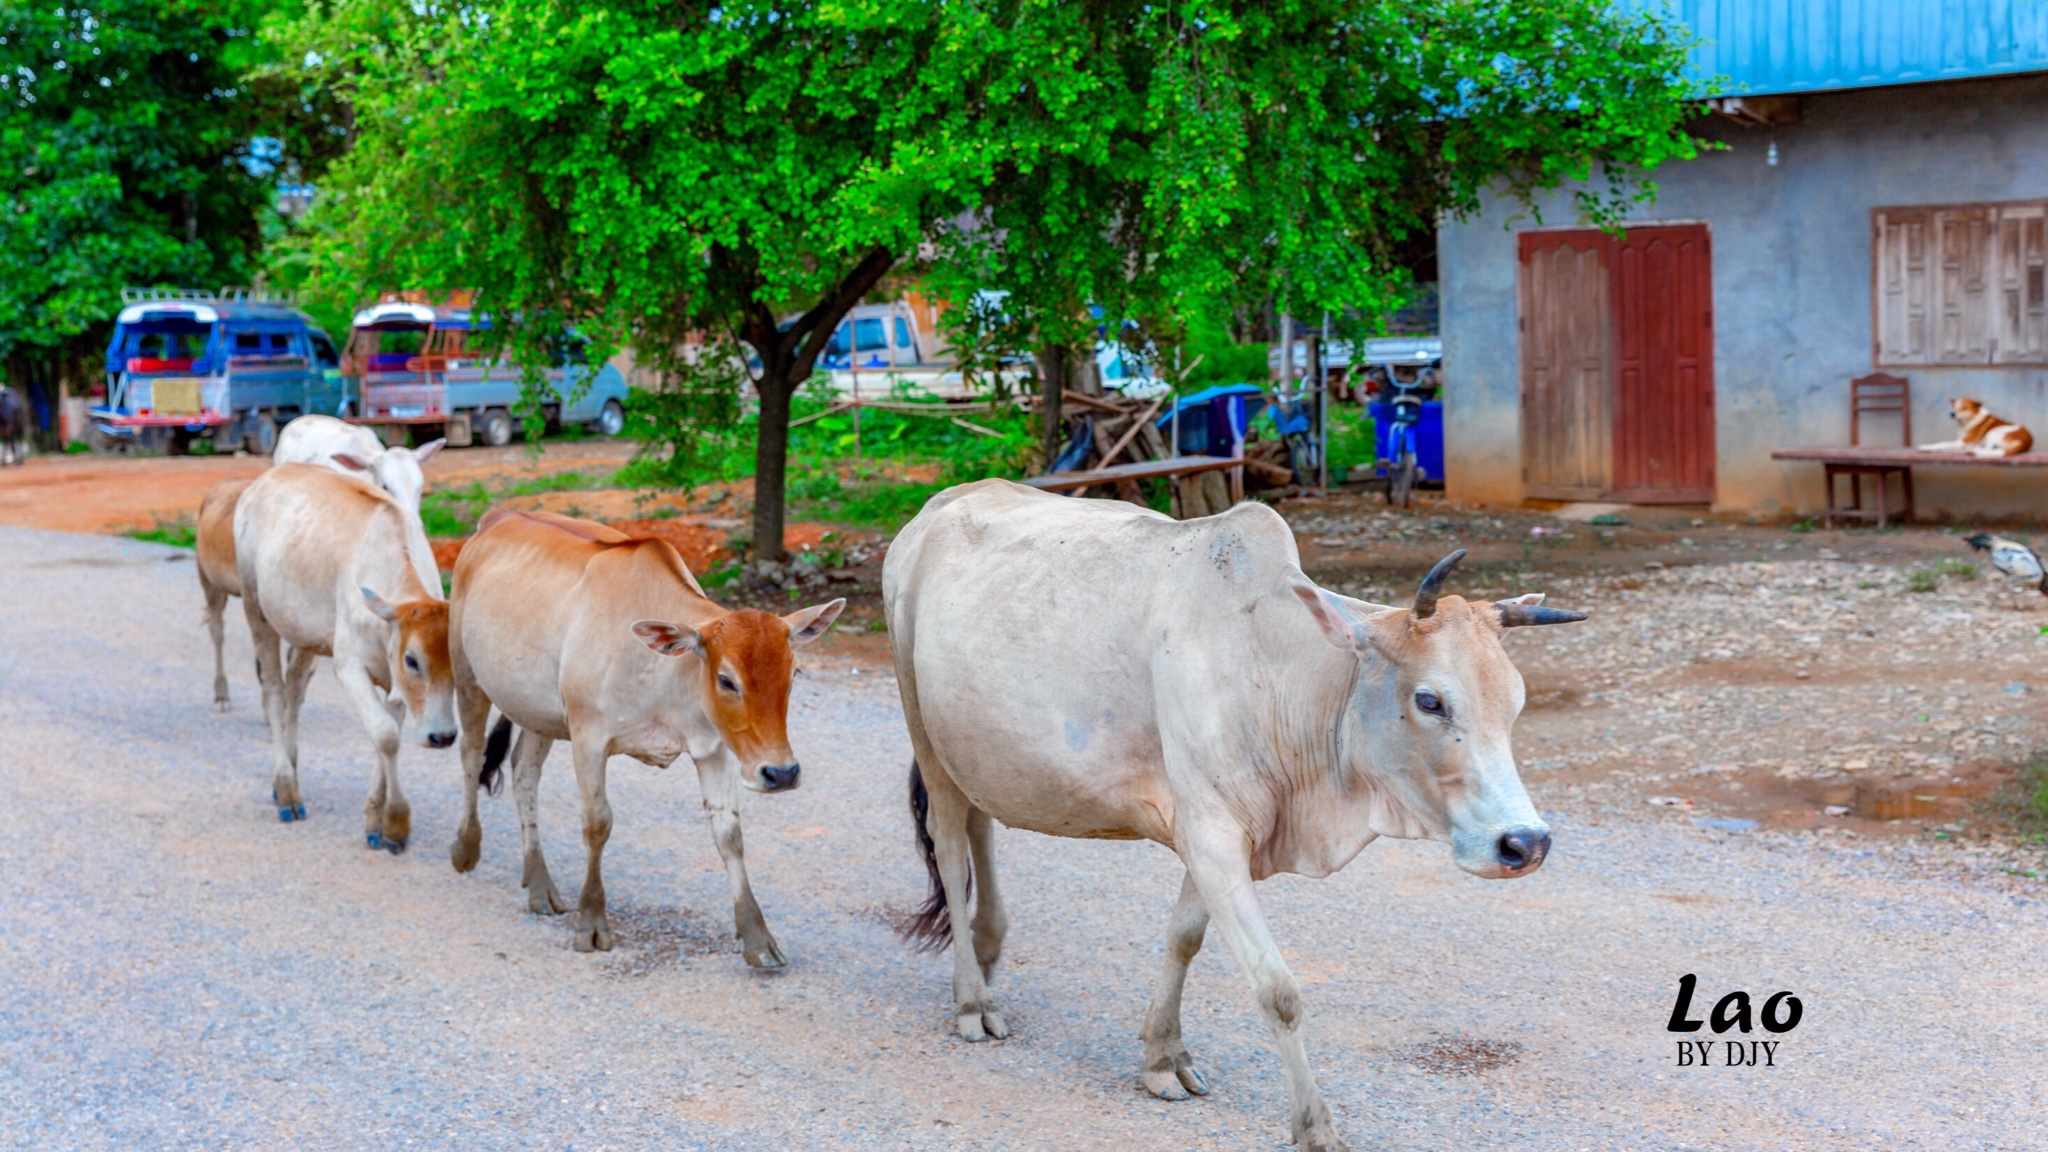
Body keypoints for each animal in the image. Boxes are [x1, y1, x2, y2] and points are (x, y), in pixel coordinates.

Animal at [880, 477, 1581, 1147]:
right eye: (1430, 700)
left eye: (1516, 702)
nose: (1525, 843)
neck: (1278, 673)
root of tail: (940, 506)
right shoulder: (1213, 833)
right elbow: (1278, 991)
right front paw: (1316, 1128)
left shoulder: (1211, 835)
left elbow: (1184, 938)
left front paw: (1163, 1056)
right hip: (922, 728)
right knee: (949, 846)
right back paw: (972, 999)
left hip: (977, 748)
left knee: (979, 825)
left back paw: (987, 946)